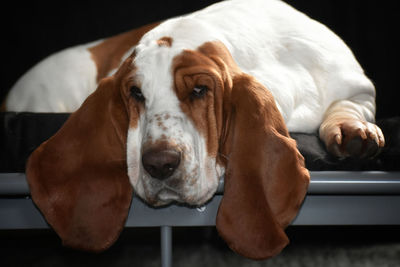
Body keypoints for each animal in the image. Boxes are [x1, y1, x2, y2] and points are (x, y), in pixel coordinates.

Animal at [3, 0, 384, 260]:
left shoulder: (357, 89)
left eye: (200, 90)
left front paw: (354, 132)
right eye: (136, 93)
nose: (159, 164)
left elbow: (349, 106)